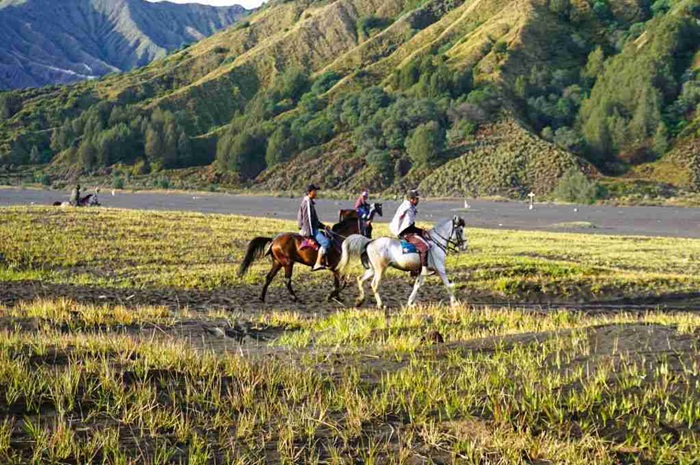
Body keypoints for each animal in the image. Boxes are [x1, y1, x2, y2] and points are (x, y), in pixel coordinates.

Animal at [338, 215, 468, 308]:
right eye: (461, 230)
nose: (465, 246)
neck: (435, 242)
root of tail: (370, 242)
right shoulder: (440, 269)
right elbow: (448, 285)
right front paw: (455, 303)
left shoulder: (422, 272)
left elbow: (417, 285)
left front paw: (410, 302)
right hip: (380, 269)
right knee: (374, 284)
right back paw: (380, 304)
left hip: (372, 269)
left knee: (360, 279)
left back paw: (360, 301)